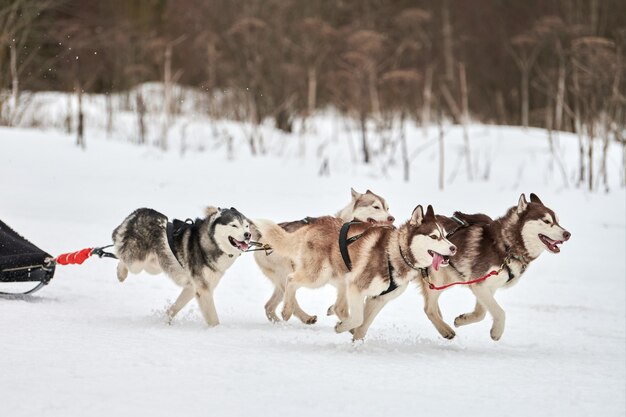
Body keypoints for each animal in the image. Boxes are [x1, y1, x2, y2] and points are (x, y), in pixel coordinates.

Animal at [112, 206, 251, 326]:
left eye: (247, 226)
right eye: (234, 225)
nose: (248, 234)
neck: (210, 242)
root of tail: (138, 212)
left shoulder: (192, 287)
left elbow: (175, 307)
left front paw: (166, 320)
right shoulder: (203, 289)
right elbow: (213, 319)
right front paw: (217, 331)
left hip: (154, 266)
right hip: (137, 263)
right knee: (122, 257)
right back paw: (120, 273)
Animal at [252, 187, 390, 324]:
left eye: (387, 208)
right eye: (376, 207)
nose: (391, 218)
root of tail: (259, 237)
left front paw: (335, 311)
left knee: (270, 306)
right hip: (298, 273)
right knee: (290, 293)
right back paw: (302, 316)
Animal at [254, 205, 454, 338]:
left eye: (445, 235)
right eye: (434, 237)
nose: (453, 248)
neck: (395, 252)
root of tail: (316, 223)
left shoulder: (378, 299)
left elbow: (363, 325)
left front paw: (356, 342)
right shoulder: (357, 287)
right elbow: (358, 318)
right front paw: (341, 328)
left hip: (342, 280)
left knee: (337, 306)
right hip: (319, 276)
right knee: (291, 280)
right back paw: (287, 310)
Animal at [420, 193, 572, 340]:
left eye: (558, 221)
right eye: (547, 221)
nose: (568, 234)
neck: (507, 246)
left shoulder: (488, 287)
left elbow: (481, 313)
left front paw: (462, 319)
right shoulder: (478, 284)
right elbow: (500, 312)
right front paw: (497, 332)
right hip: (438, 278)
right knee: (429, 309)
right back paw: (445, 329)